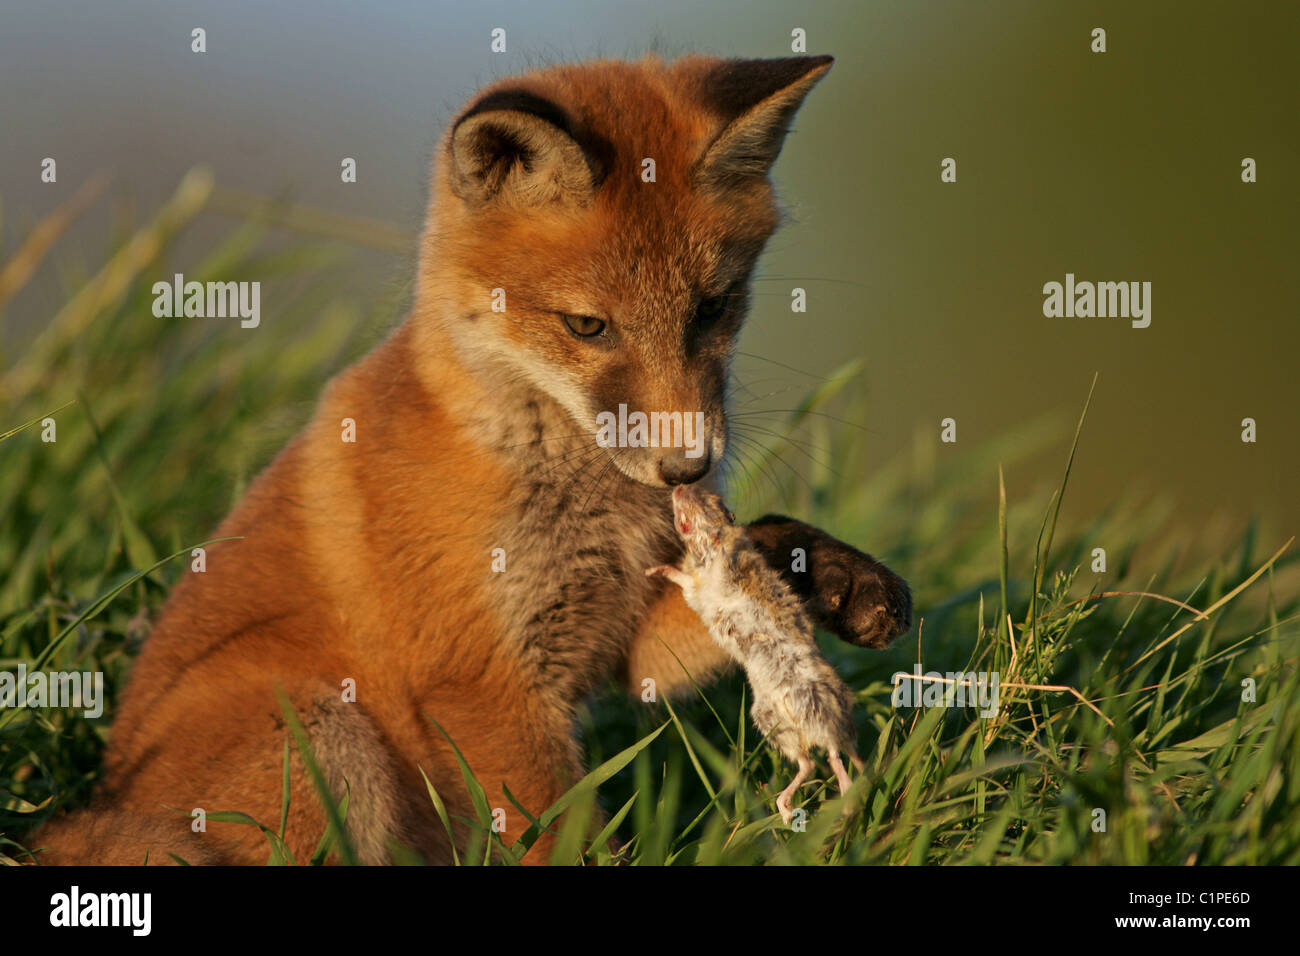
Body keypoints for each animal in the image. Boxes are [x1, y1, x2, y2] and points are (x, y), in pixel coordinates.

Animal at [32, 53, 911, 865]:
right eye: (587, 327)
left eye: (712, 308)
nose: (688, 468)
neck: (576, 495)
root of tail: (91, 813)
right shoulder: (479, 682)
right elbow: (556, 832)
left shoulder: (624, 641)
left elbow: (731, 584)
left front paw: (831, 577)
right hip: (325, 731)